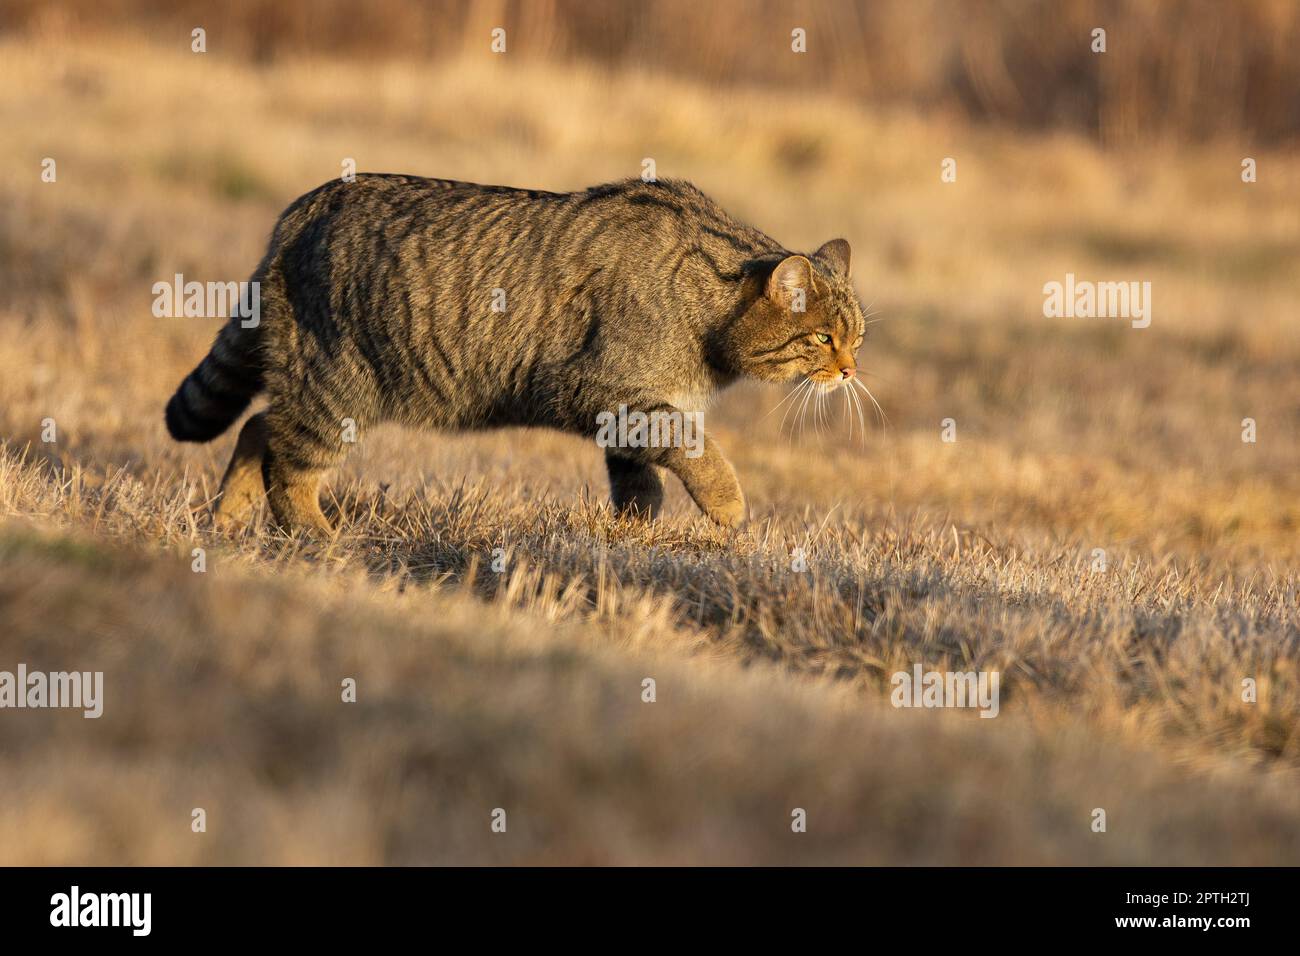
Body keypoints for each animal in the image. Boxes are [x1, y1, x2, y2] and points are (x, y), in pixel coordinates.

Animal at [170, 175, 863, 535]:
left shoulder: (627, 412)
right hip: (339, 387)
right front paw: (728, 506)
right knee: (286, 460)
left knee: (259, 428)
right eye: (823, 338)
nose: (850, 370)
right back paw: (314, 536)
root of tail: (301, 208)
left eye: (857, 338)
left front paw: (631, 540)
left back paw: (226, 521)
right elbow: (695, 450)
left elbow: (641, 483)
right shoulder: (603, 390)